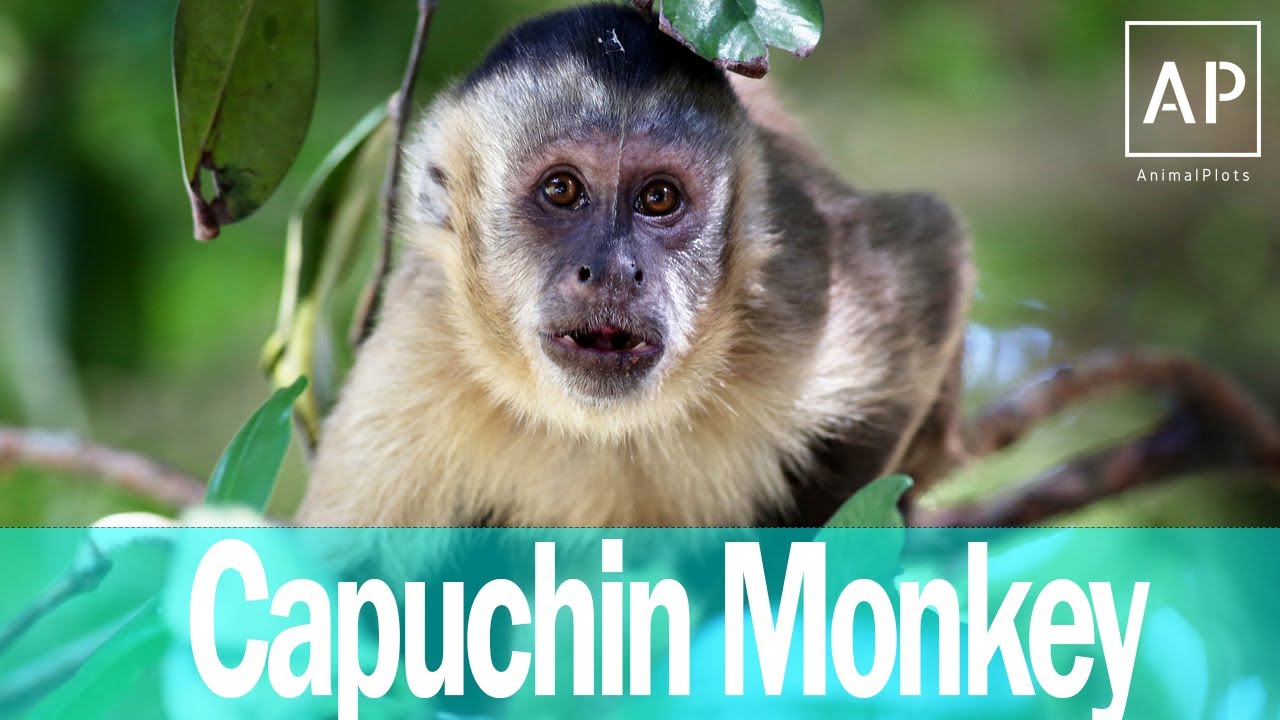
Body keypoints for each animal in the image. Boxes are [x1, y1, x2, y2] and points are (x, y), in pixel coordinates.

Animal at [296, 3, 972, 529]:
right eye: (562, 190)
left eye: (659, 199)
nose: (616, 270)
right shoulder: (417, 356)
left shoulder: (795, 293)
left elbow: (930, 250)